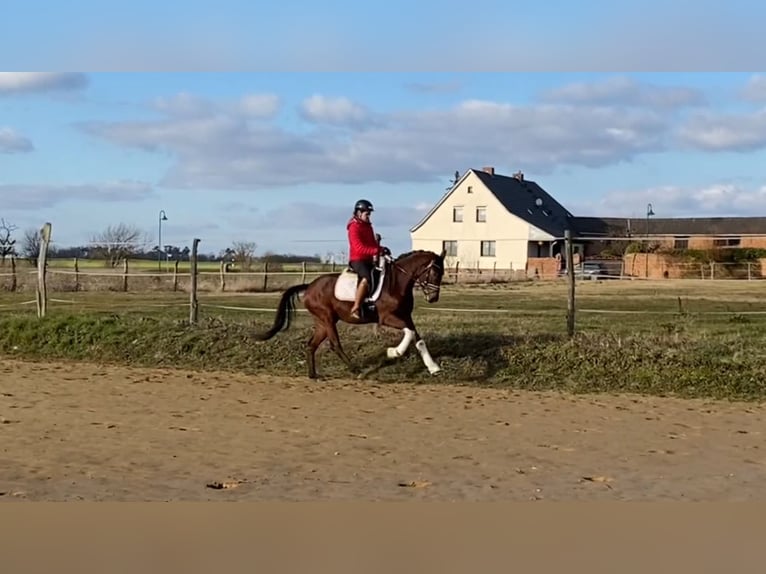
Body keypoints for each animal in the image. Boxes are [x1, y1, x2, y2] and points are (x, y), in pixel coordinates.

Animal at [255, 250, 448, 380]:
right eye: (434, 272)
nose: (433, 298)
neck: (396, 283)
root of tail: (309, 286)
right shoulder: (387, 318)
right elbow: (409, 332)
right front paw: (394, 352)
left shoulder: (406, 316)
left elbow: (417, 338)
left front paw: (433, 367)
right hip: (327, 318)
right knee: (335, 344)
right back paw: (356, 371)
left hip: (323, 322)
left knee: (311, 345)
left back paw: (313, 375)